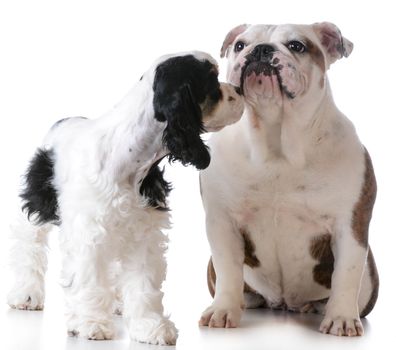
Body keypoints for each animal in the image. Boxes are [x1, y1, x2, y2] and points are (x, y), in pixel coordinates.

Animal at [7, 51, 243, 344]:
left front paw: (150, 327)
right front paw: (92, 324)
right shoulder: (88, 232)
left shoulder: (144, 232)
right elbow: (89, 280)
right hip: (37, 203)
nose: (239, 89)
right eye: (211, 80)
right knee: (29, 246)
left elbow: (144, 284)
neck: (133, 160)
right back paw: (26, 294)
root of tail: (64, 120)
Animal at [200, 22, 378, 336]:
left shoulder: (350, 225)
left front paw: (342, 319)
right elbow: (228, 269)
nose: (260, 50)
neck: (277, 140)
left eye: (297, 46)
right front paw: (223, 310)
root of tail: (285, 303)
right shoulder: (222, 222)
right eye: (240, 45)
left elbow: (346, 273)